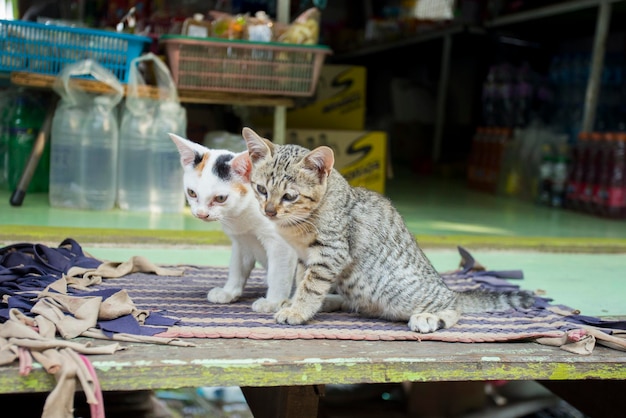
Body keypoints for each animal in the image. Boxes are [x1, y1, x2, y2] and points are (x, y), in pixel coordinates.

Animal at [168, 132, 298, 312]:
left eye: (221, 198)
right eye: (192, 193)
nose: (201, 214)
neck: (242, 215)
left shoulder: (281, 244)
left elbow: (278, 274)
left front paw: (272, 302)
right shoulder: (242, 241)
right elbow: (237, 267)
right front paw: (229, 292)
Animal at [239, 127, 532, 334]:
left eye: (289, 196)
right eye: (261, 189)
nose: (269, 211)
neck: (302, 222)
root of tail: (447, 287)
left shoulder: (331, 252)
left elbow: (311, 286)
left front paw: (297, 310)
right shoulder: (304, 257)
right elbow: (302, 281)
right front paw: (293, 303)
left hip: (400, 293)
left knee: (453, 305)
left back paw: (430, 317)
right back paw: (332, 301)